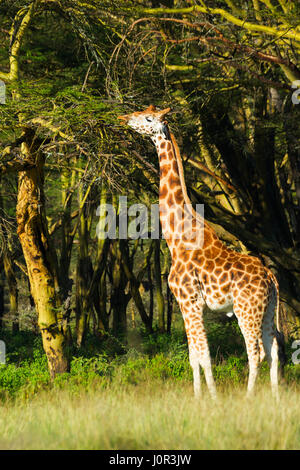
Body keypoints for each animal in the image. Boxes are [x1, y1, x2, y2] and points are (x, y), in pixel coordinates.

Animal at [117, 104, 284, 398]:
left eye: (148, 118)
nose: (124, 118)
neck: (176, 240)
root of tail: (271, 277)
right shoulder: (186, 305)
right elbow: (193, 355)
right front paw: (198, 397)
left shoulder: (190, 301)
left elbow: (204, 354)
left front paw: (213, 398)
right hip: (268, 308)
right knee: (273, 348)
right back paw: (274, 398)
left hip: (246, 309)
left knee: (256, 352)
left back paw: (248, 397)